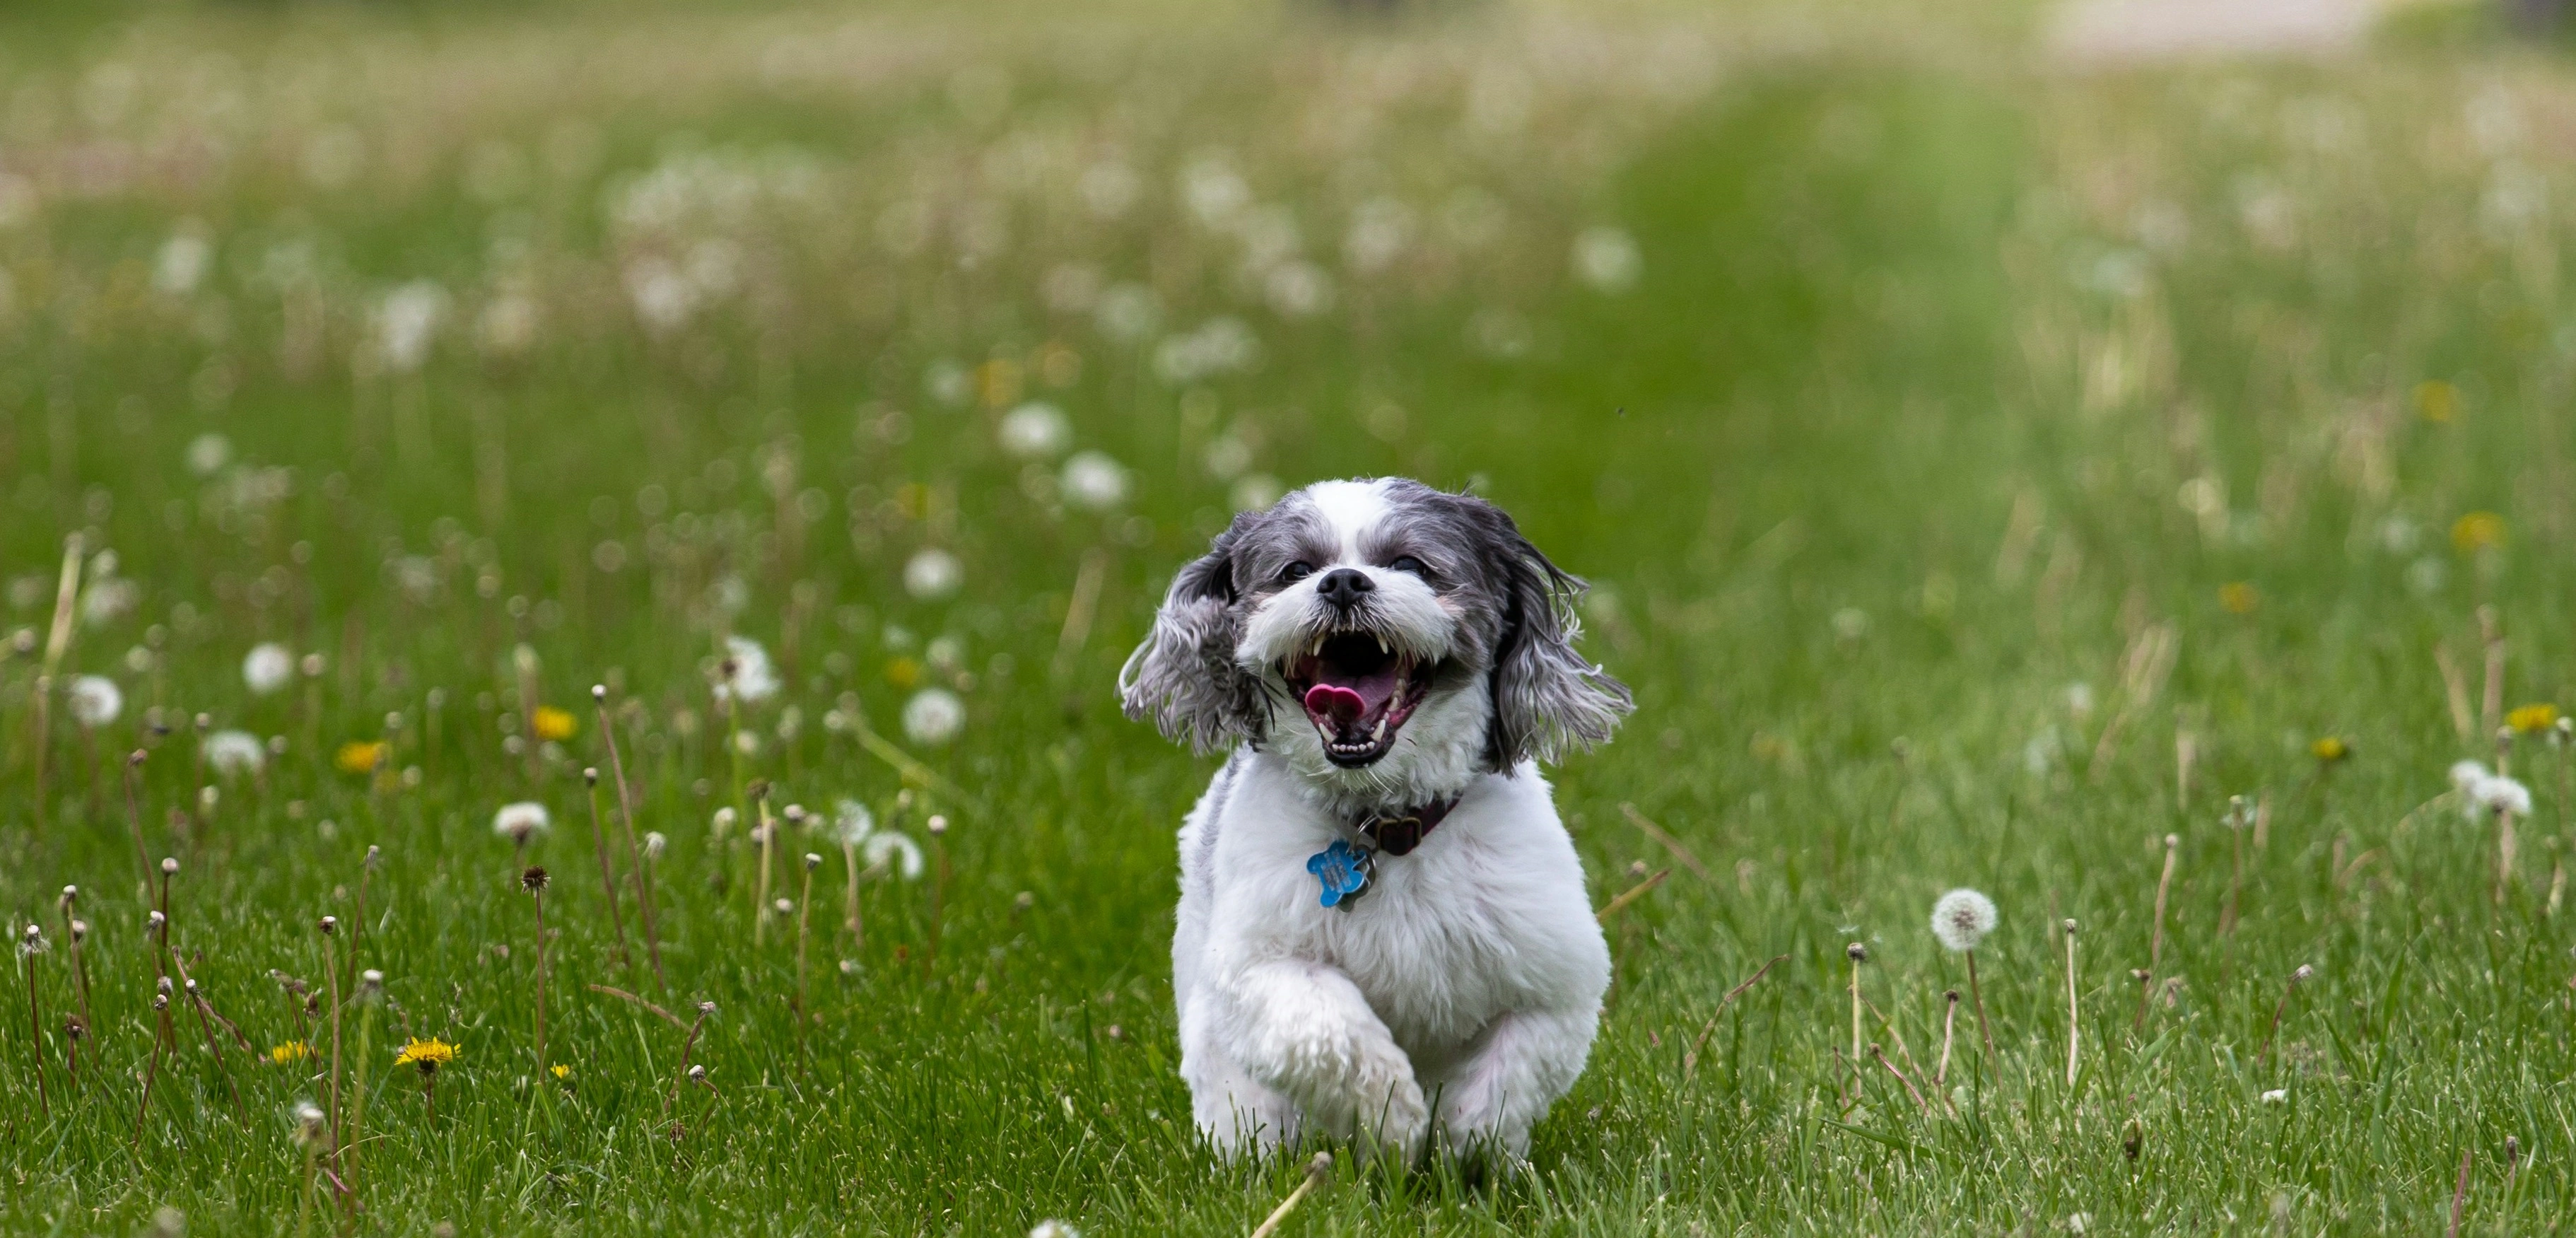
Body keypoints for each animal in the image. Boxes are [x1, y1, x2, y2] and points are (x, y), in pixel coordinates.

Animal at [1113, 473, 1628, 1158]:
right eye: (1296, 570)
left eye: (1410, 565)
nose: (1342, 581)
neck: (1386, 822)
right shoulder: (1259, 966)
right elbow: (1331, 1031)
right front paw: (1396, 1120)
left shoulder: (1552, 979)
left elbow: (1509, 1075)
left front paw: (1462, 1143)